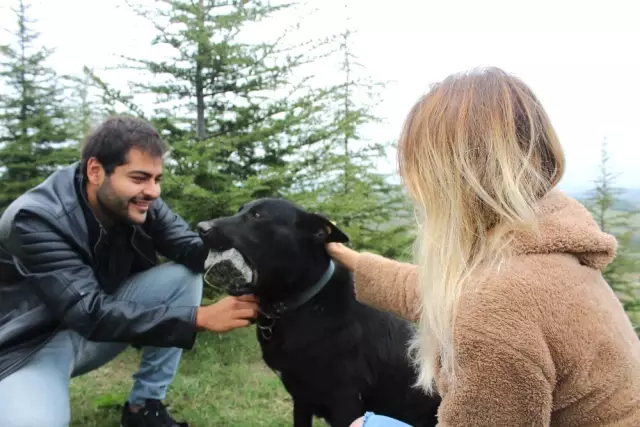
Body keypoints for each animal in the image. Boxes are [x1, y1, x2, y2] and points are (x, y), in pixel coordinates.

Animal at [198, 199, 442, 426]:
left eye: (257, 216)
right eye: (240, 210)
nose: (201, 227)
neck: (302, 305)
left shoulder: (345, 402)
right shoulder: (300, 399)